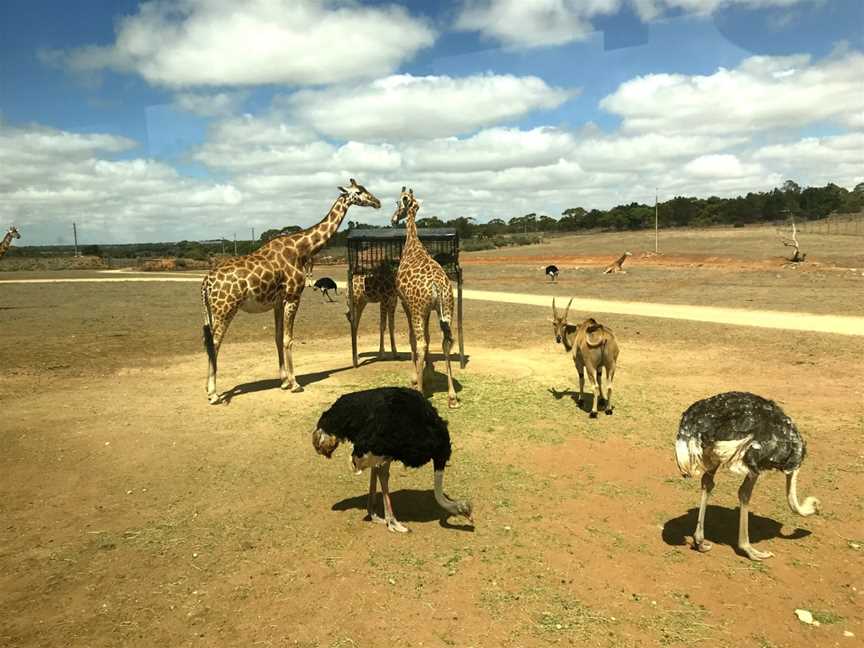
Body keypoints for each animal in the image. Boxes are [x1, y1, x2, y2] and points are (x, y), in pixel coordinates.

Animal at [202, 180, 382, 402]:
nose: (377, 202)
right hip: (225, 308)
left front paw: (284, 381)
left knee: (208, 342)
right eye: (359, 192)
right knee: (215, 343)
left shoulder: (278, 301)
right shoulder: (293, 296)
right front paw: (295, 384)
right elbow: (289, 339)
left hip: (211, 311)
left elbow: (278, 338)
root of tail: (206, 283)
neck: (301, 249)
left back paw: (209, 389)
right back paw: (213, 394)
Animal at [390, 187, 460, 408]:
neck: (412, 245)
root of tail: (437, 285)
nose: (393, 219)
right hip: (447, 309)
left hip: (418, 309)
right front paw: (427, 374)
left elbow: (413, 339)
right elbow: (429, 337)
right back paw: (452, 397)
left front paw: (416, 378)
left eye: (398, 203)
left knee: (421, 343)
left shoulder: (407, 304)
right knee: (446, 342)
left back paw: (419, 390)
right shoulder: (429, 310)